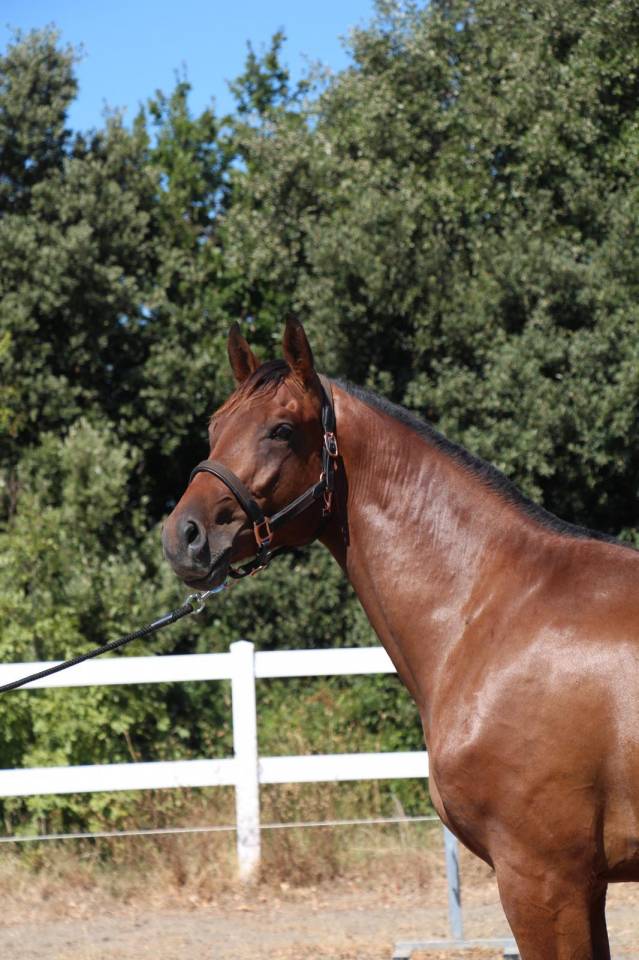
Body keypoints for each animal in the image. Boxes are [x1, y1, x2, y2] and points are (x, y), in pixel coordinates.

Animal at [162, 318, 639, 960]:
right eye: (216, 427)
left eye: (282, 430)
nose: (183, 536)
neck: (496, 608)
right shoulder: (579, 886)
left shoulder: (547, 881)